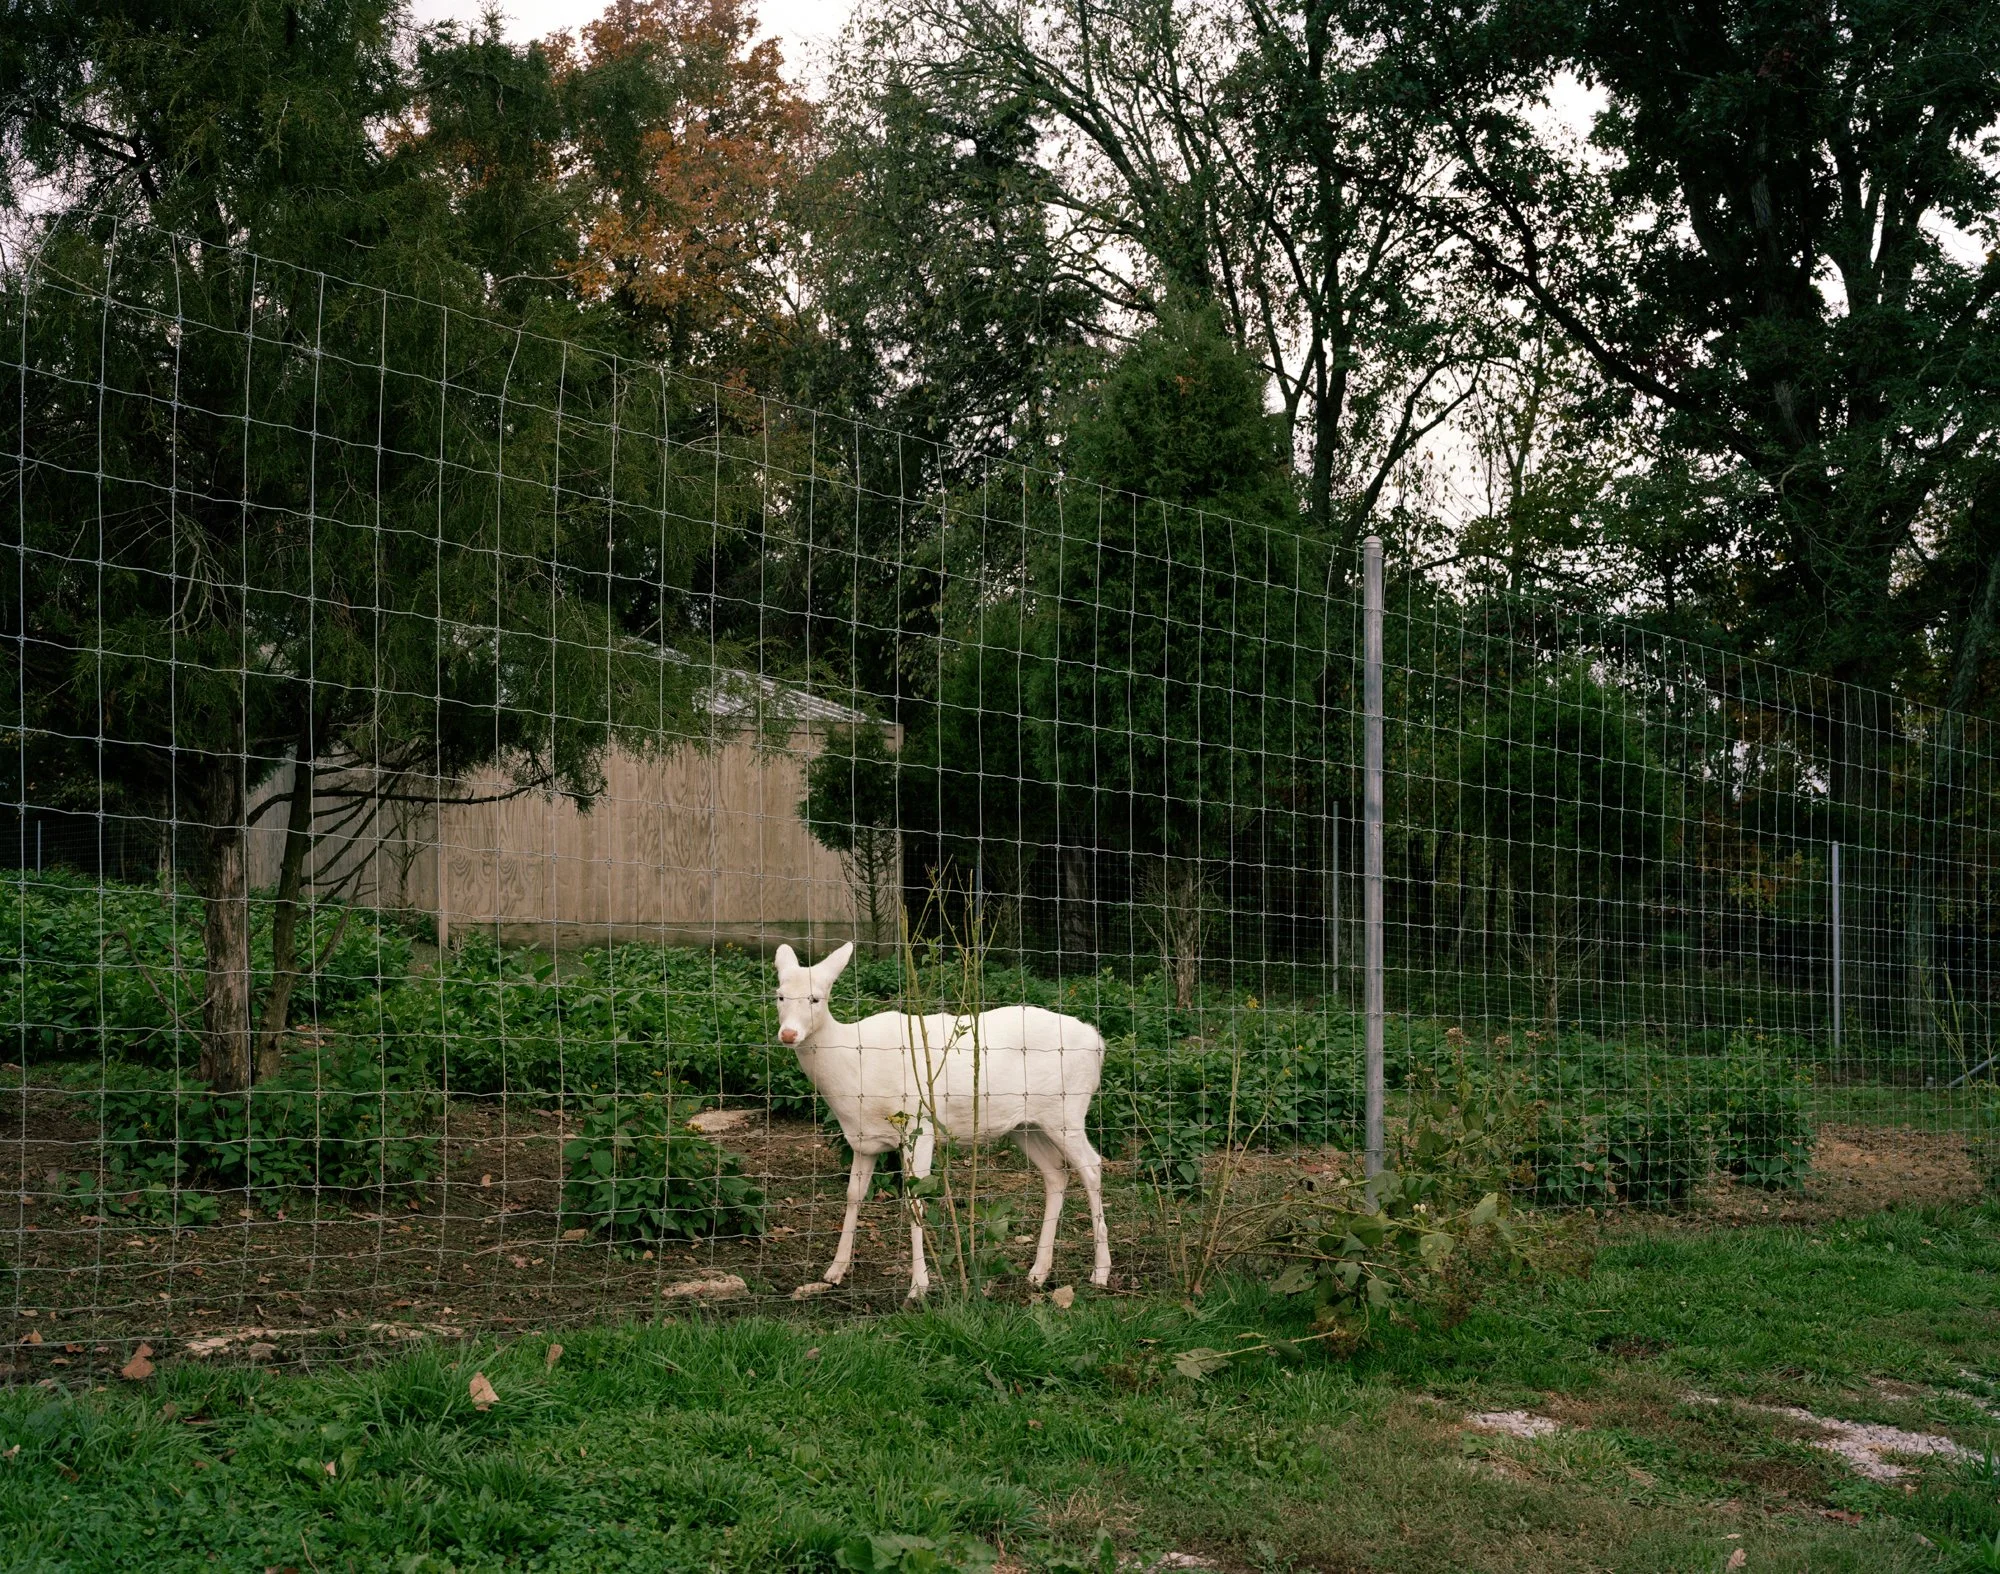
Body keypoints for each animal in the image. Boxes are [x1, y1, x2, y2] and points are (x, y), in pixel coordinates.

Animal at [773, 941, 1110, 1301]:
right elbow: (853, 1195)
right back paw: (1038, 1272)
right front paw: (834, 1272)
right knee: (1056, 1172)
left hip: (1067, 1108)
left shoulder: (918, 1125)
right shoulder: (863, 1140)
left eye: (816, 998)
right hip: (1025, 1125)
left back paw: (1100, 1272)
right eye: (780, 995)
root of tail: (1098, 1042)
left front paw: (919, 1286)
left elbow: (915, 1201)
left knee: (1092, 1166)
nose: (789, 1034)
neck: (853, 1069)